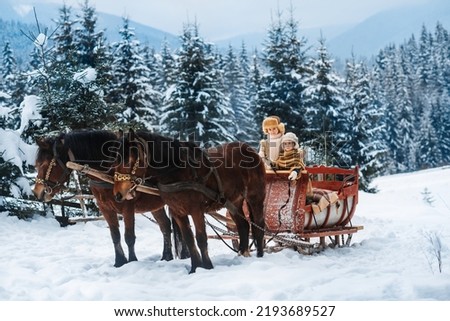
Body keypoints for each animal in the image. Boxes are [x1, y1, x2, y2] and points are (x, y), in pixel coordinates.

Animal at [32, 129, 189, 266]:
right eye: (37, 164)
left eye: (46, 164)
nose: (37, 192)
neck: (109, 172)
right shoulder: (105, 207)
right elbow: (115, 235)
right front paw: (119, 262)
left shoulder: (127, 207)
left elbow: (129, 237)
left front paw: (132, 261)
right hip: (155, 206)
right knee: (165, 226)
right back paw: (166, 256)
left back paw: (184, 255)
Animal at [112, 129, 268, 272]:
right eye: (115, 160)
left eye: (128, 160)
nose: (118, 194)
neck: (177, 171)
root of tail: (249, 149)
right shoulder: (178, 212)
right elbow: (189, 239)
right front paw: (195, 268)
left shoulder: (196, 210)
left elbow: (201, 238)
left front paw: (207, 266)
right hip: (234, 201)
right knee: (243, 225)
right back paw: (243, 254)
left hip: (255, 197)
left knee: (259, 225)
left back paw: (260, 256)